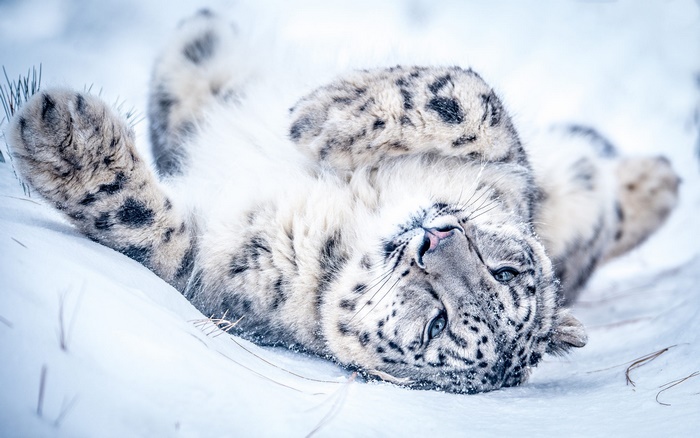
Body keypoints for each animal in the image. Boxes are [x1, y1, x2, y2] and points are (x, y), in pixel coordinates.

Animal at [4, 10, 680, 394]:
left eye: (435, 324)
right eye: (506, 270)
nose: (436, 238)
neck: (362, 214)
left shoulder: (207, 273)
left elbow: (143, 227)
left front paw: (61, 136)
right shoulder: (508, 167)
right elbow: (471, 97)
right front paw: (324, 116)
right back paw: (659, 175)